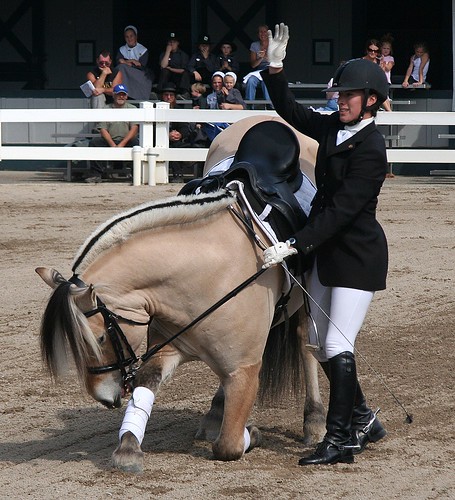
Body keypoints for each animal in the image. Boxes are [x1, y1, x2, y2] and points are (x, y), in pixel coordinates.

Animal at [37, 116, 326, 472]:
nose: (103, 398)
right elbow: (145, 389)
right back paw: (215, 413)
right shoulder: (167, 349)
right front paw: (128, 448)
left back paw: (314, 420)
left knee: (305, 343)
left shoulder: (244, 371)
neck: (204, 276)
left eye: (100, 339)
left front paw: (254, 434)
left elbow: (229, 444)